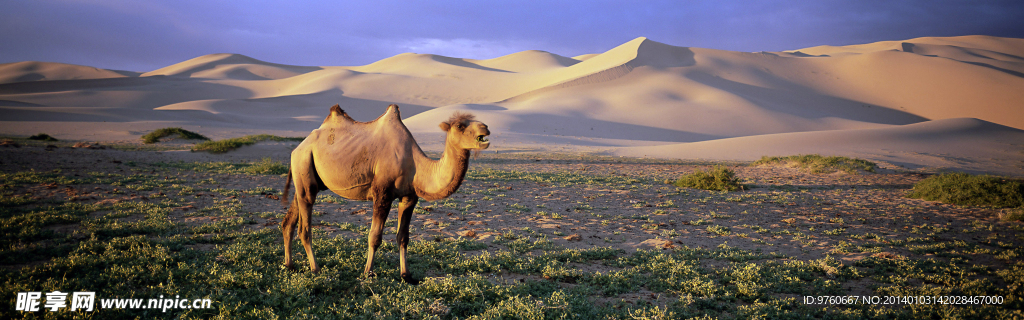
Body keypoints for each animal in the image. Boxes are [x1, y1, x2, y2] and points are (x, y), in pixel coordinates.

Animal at [278, 103, 489, 283]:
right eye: (460, 125)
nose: (485, 128)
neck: (415, 165)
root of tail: (298, 148)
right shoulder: (382, 193)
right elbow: (375, 236)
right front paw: (368, 273)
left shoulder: (409, 197)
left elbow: (403, 237)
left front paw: (406, 275)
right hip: (304, 164)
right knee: (304, 227)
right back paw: (316, 269)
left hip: (305, 176)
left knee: (288, 221)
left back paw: (289, 265)